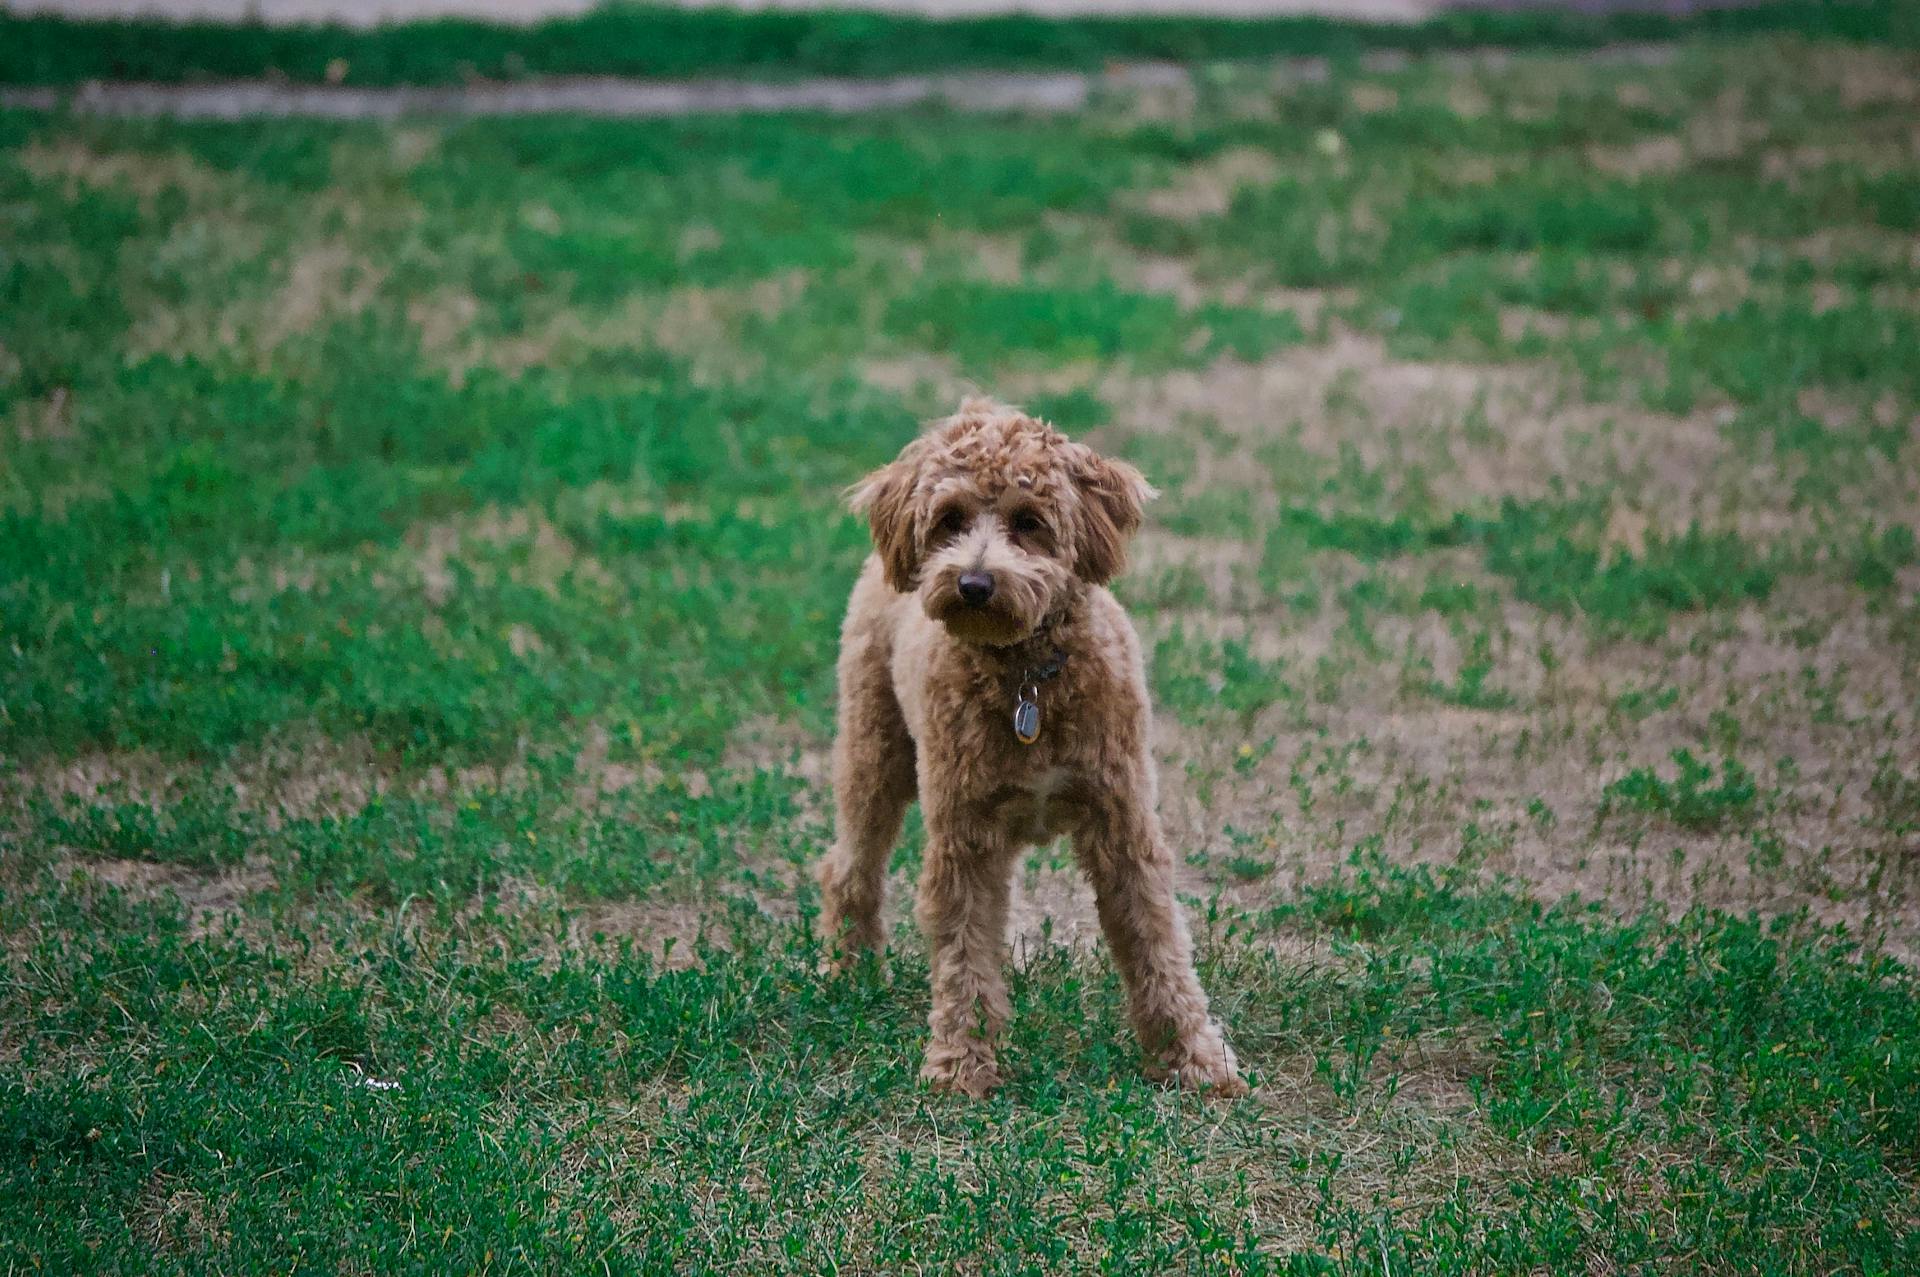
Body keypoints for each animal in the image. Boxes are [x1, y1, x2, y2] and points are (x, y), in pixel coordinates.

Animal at [810, 395, 1244, 1098]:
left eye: (1030, 522)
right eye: (950, 520)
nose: (973, 584)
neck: (1026, 680)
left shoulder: (1123, 823)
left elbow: (1156, 942)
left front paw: (1194, 1057)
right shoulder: (963, 837)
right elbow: (963, 954)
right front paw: (961, 1063)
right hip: (874, 749)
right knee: (850, 865)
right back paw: (849, 972)